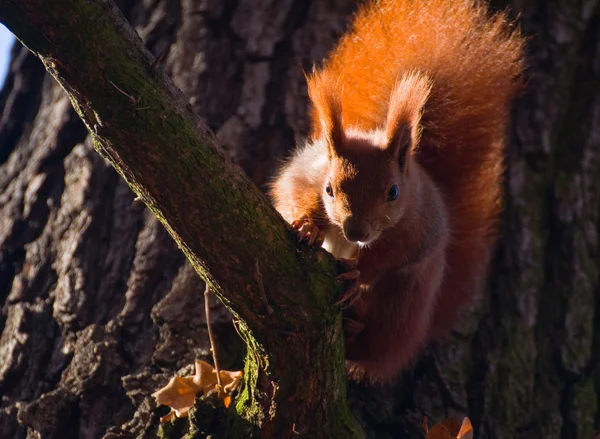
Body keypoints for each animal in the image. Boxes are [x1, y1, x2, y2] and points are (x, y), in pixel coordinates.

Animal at [270, 0, 524, 382]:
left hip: (405, 302)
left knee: (379, 345)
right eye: (329, 188)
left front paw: (358, 271)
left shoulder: (420, 228)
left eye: (393, 192)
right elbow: (288, 193)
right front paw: (308, 225)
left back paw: (356, 329)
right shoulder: (304, 174)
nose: (356, 232)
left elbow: (394, 255)